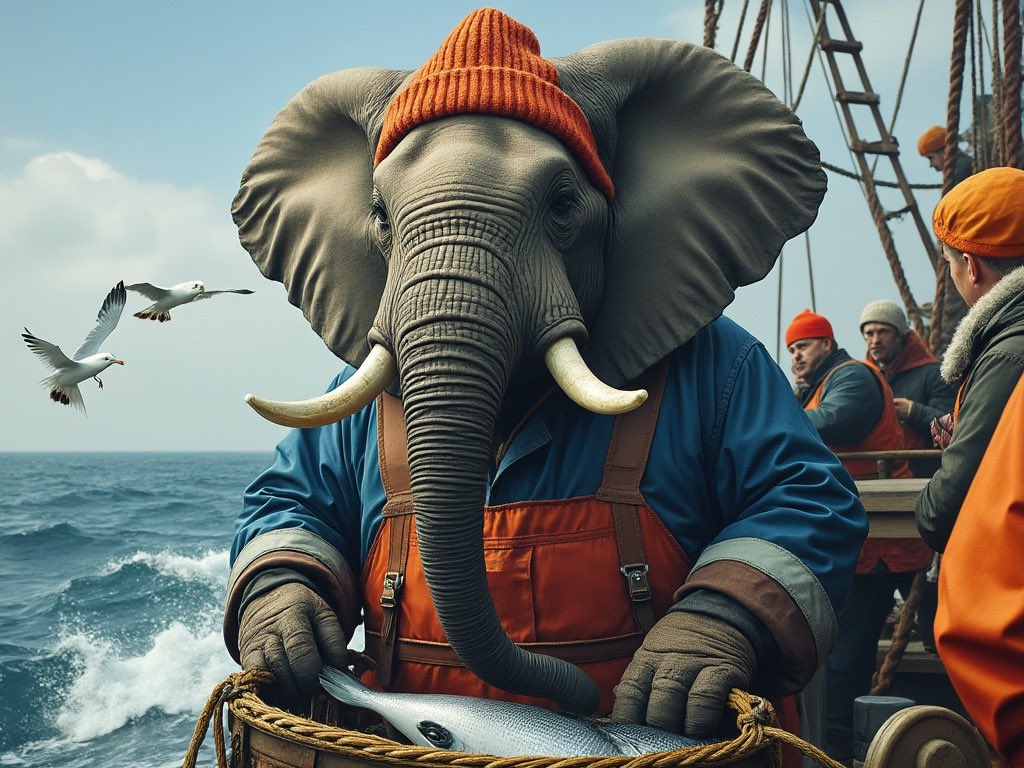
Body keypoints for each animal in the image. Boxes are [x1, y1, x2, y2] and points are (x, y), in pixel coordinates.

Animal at [225, 8, 862, 725]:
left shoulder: (740, 364)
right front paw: (287, 636)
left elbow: (799, 491)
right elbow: (294, 497)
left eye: (562, 203)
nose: (583, 697)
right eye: (380, 216)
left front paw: (678, 671)